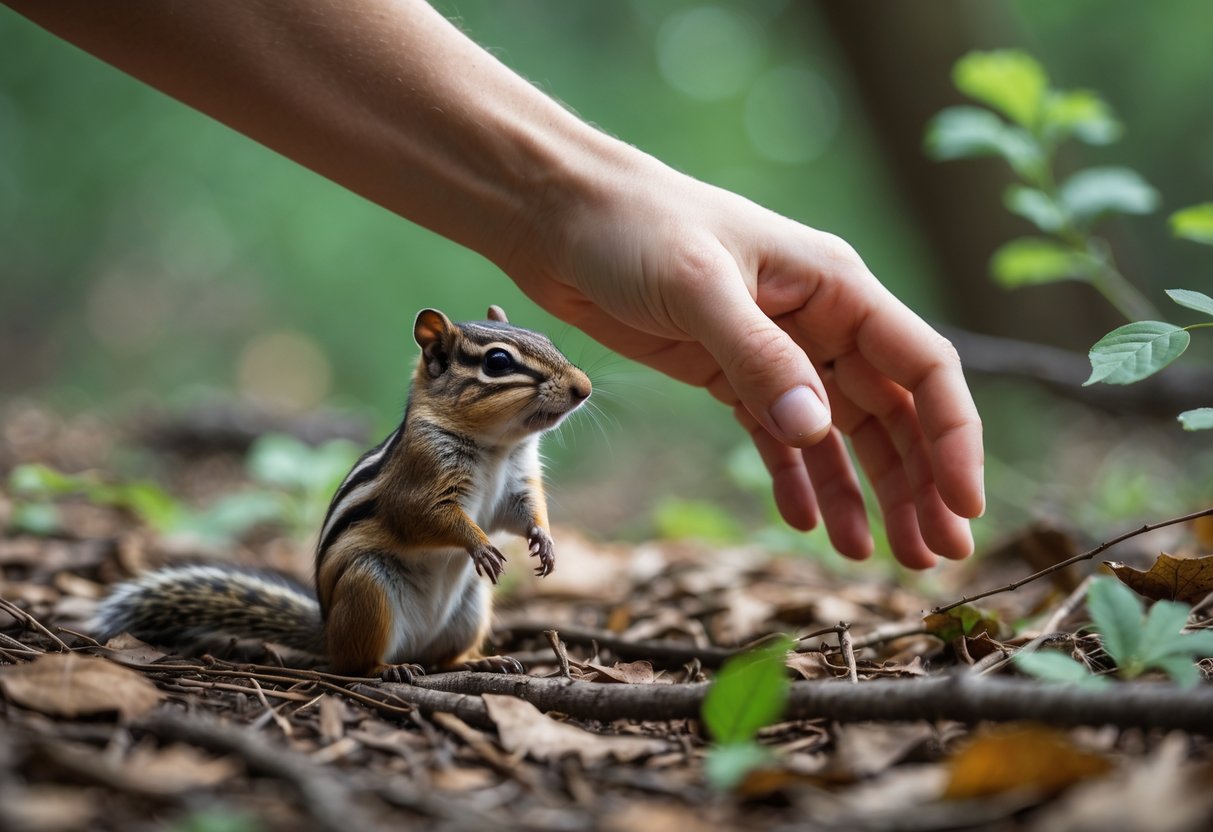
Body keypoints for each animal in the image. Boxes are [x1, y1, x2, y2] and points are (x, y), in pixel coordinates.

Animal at [90, 306, 591, 680]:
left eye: (546, 338)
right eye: (498, 362)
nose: (583, 388)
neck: (496, 448)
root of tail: (328, 632)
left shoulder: (517, 484)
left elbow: (525, 513)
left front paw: (544, 543)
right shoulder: (419, 480)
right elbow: (426, 516)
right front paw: (480, 545)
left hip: (470, 607)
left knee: (442, 658)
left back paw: (484, 660)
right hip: (369, 590)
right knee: (355, 663)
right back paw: (387, 669)